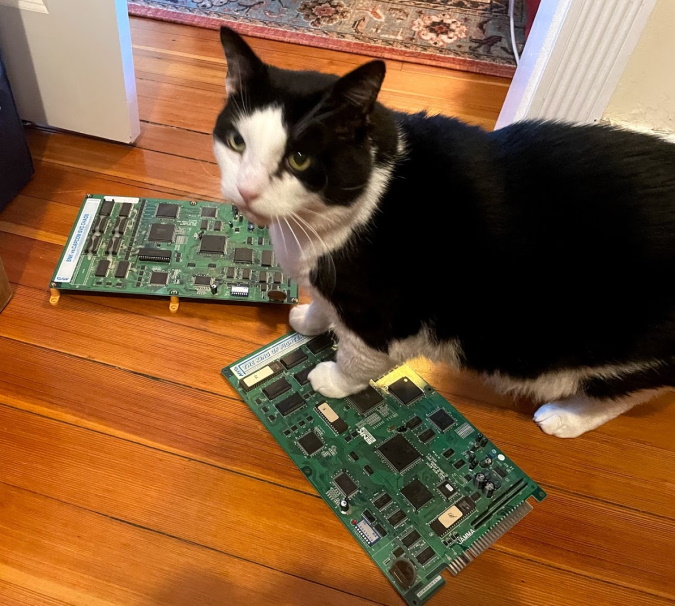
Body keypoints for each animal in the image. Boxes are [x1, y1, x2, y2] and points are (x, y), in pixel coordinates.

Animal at [215, 27, 675, 436]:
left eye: (300, 159)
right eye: (237, 142)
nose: (246, 190)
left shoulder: (383, 313)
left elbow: (360, 357)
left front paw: (334, 380)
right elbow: (323, 305)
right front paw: (308, 320)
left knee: (625, 391)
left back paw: (565, 417)